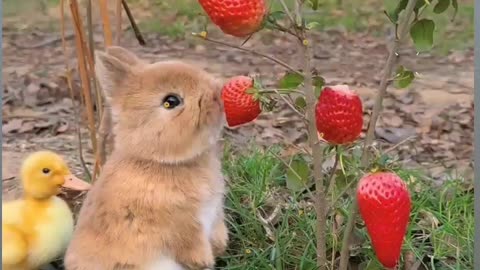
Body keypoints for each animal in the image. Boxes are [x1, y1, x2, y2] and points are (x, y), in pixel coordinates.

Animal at [63, 46, 227, 270]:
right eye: (171, 102)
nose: (218, 95)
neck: (156, 160)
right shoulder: (184, 226)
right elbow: (190, 244)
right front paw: (205, 261)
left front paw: (221, 245)